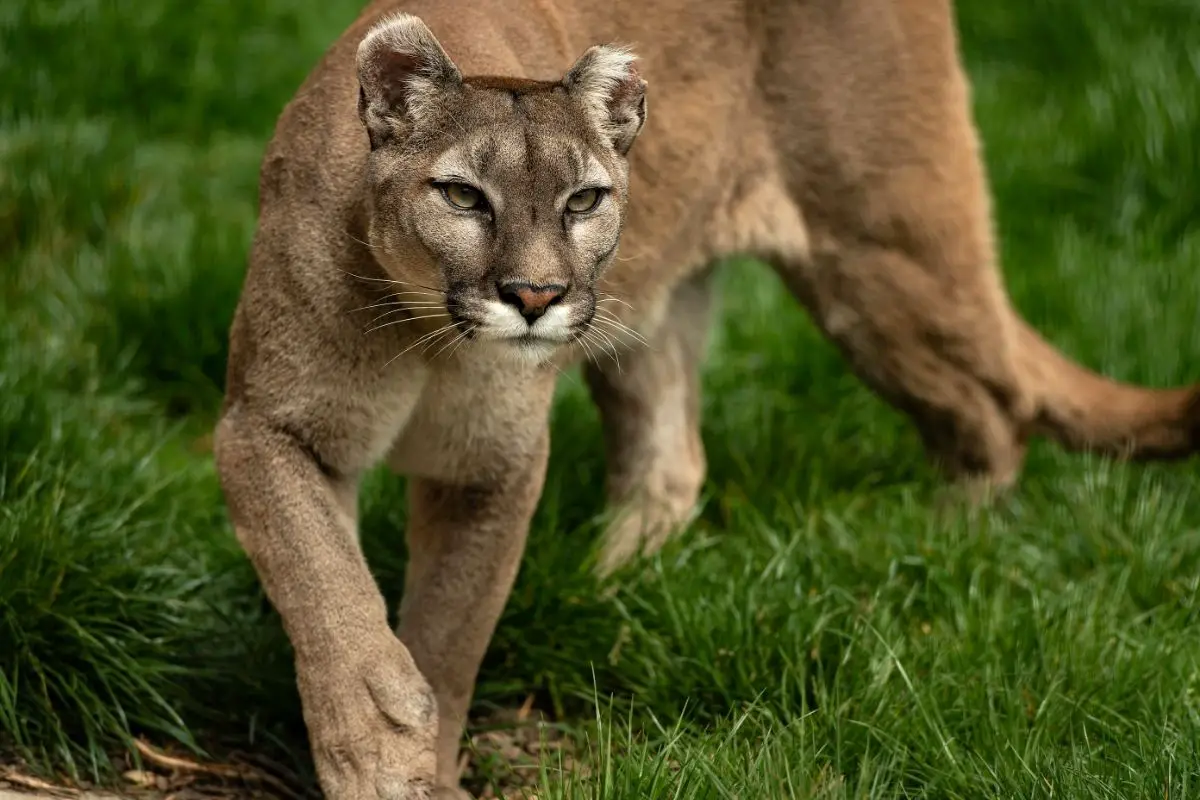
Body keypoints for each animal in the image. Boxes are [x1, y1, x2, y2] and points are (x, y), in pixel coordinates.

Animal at [213, 0, 1200, 796]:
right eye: (462, 195)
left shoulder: (491, 467)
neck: (428, 336)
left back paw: (953, 544)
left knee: (991, 408)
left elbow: (452, 633)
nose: (535, 295)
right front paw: (381, 750)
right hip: (656, 316)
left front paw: (420, 758)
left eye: (583, 200)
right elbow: (328, 593)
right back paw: (608, 586)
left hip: (879, 256)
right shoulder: (267, 427)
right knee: (674, 459)